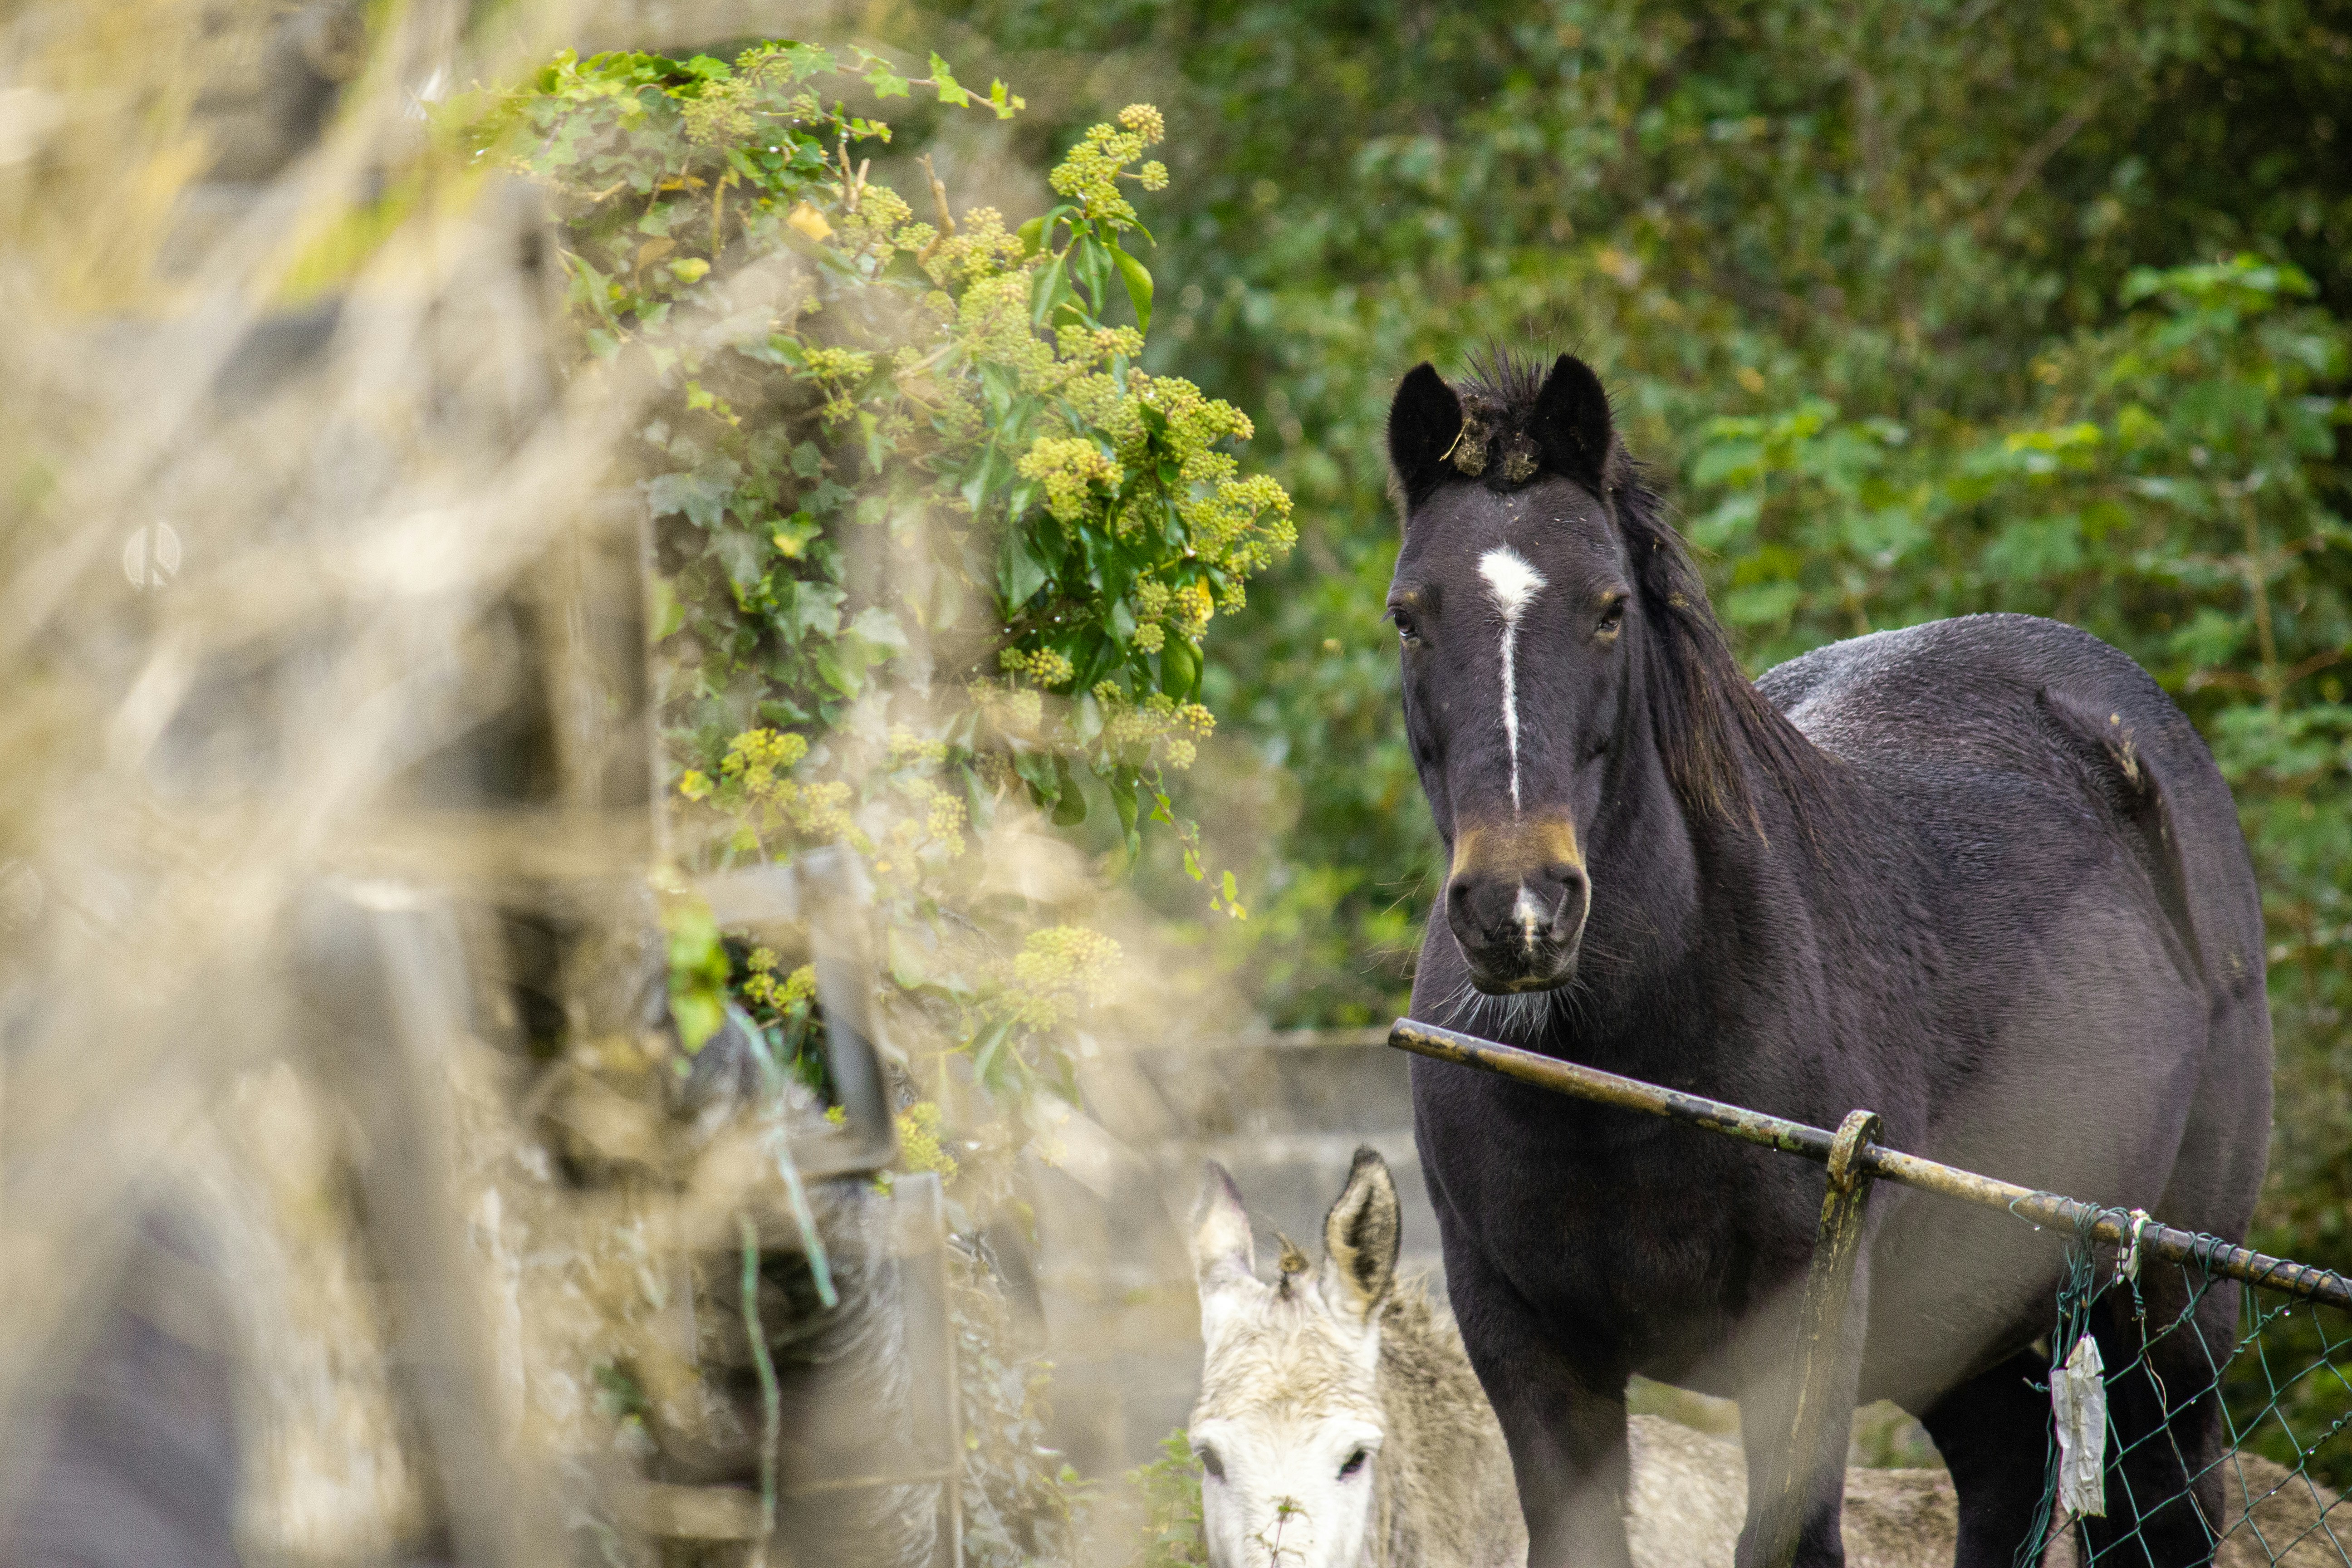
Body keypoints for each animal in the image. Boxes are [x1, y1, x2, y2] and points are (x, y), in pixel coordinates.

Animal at [1382, 352, 2272, 1568]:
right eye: (1408, 618)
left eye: (1608, 609)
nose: (1519, 909)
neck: (1624, 1064)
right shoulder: (1525, 1349)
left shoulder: (1798, 1349)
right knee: (2008, 1479)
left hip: (2172, 1312)